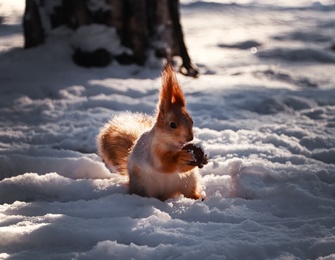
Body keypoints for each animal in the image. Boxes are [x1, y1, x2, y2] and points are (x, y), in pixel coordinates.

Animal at [97, 65, 206, 201]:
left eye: (192, 121)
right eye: (172, 125)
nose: (190, 138)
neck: (173, 145)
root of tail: (167, 194)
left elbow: (182, 169)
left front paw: (203, 157)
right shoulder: (153, 151)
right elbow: (164, 164)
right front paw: (181, 156)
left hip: (189, 181)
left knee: (189, 192)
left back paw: (198, 198)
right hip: (145, 185)